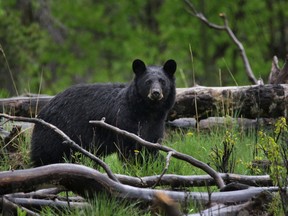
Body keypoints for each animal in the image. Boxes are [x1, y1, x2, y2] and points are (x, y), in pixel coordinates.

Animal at [30, 59, 177, 167]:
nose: (156, 93)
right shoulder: (125, 120)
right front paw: (133, 166)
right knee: (45, 153)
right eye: (148, 82)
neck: (148, 111)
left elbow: (151, 146)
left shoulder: (156, 123)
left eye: (162, 81)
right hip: (55, 133)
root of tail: (43, 110)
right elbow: (128, 148)